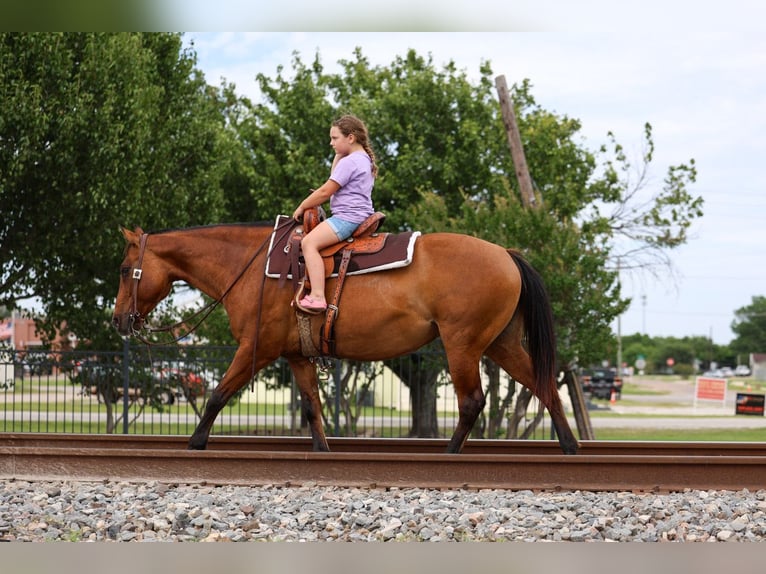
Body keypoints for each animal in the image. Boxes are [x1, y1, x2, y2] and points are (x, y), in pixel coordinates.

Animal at [112, 221, 579, 455]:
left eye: (123, 269)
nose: (117, 320)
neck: (252, 267)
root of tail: (507, 255)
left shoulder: (254, 350)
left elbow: (217, 394)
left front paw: (194, 443)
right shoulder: (297, 356)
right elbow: (312, 408)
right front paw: (322, 451)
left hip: (462, 344)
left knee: (472, 402)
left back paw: (449, 454)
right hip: (501, 344)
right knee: (543, 385)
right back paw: (571, 447)